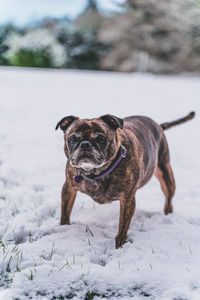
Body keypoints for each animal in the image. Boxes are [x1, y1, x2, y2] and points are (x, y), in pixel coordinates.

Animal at [55, 111, 195, 247]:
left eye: (101, 139)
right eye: (73, 139)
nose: (85, 144)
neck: (96, 173)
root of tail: (158, 126)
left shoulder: (127, 199)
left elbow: (123, 226)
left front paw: (120, 245)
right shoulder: (68, 188)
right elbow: (65, 211)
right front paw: (63, 228)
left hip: (165, 174)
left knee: (169, 198)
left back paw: (167, 214)